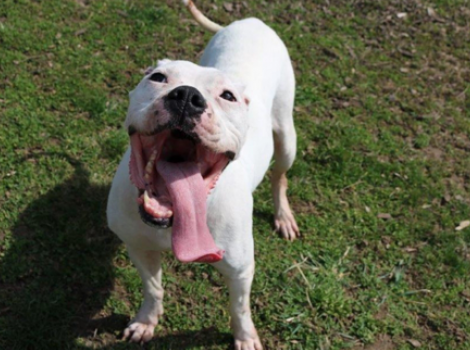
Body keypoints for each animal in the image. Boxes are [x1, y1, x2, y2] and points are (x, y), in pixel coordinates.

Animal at [105, 1, 298, 348]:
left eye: (228, 96)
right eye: (158, 77)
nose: (186, 96)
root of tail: (252, 21)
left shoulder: (240, 269)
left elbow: (240, 308)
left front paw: (245, 337)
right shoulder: (139, 247)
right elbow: (152, 288)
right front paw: (146, 321)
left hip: (287, 136)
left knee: (280, 176)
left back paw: (283, 215)